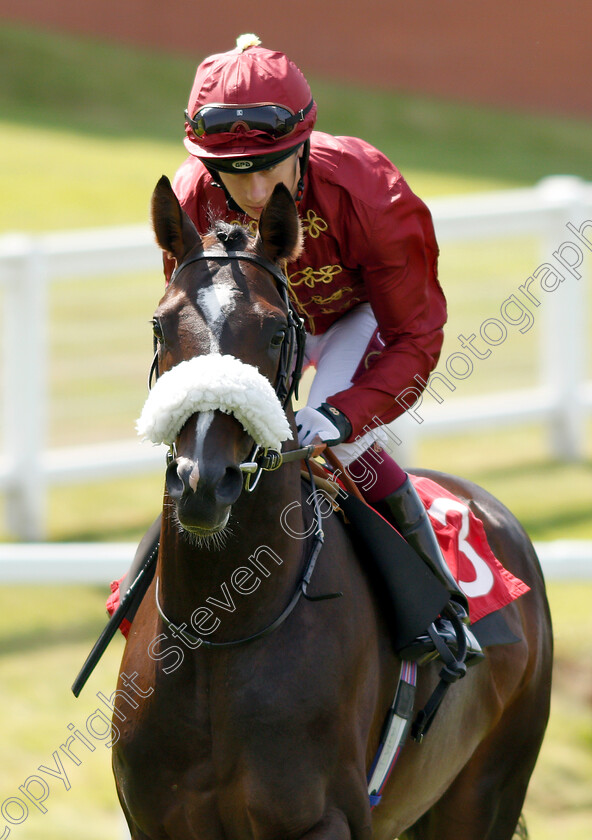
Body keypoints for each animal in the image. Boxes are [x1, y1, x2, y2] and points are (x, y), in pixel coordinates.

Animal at [112, 177, 556, 840]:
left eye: (275, 332)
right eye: (162, 327)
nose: (203, 483)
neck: (221, 632)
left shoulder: (324, 819)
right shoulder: (152, 822)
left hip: (488, 789)